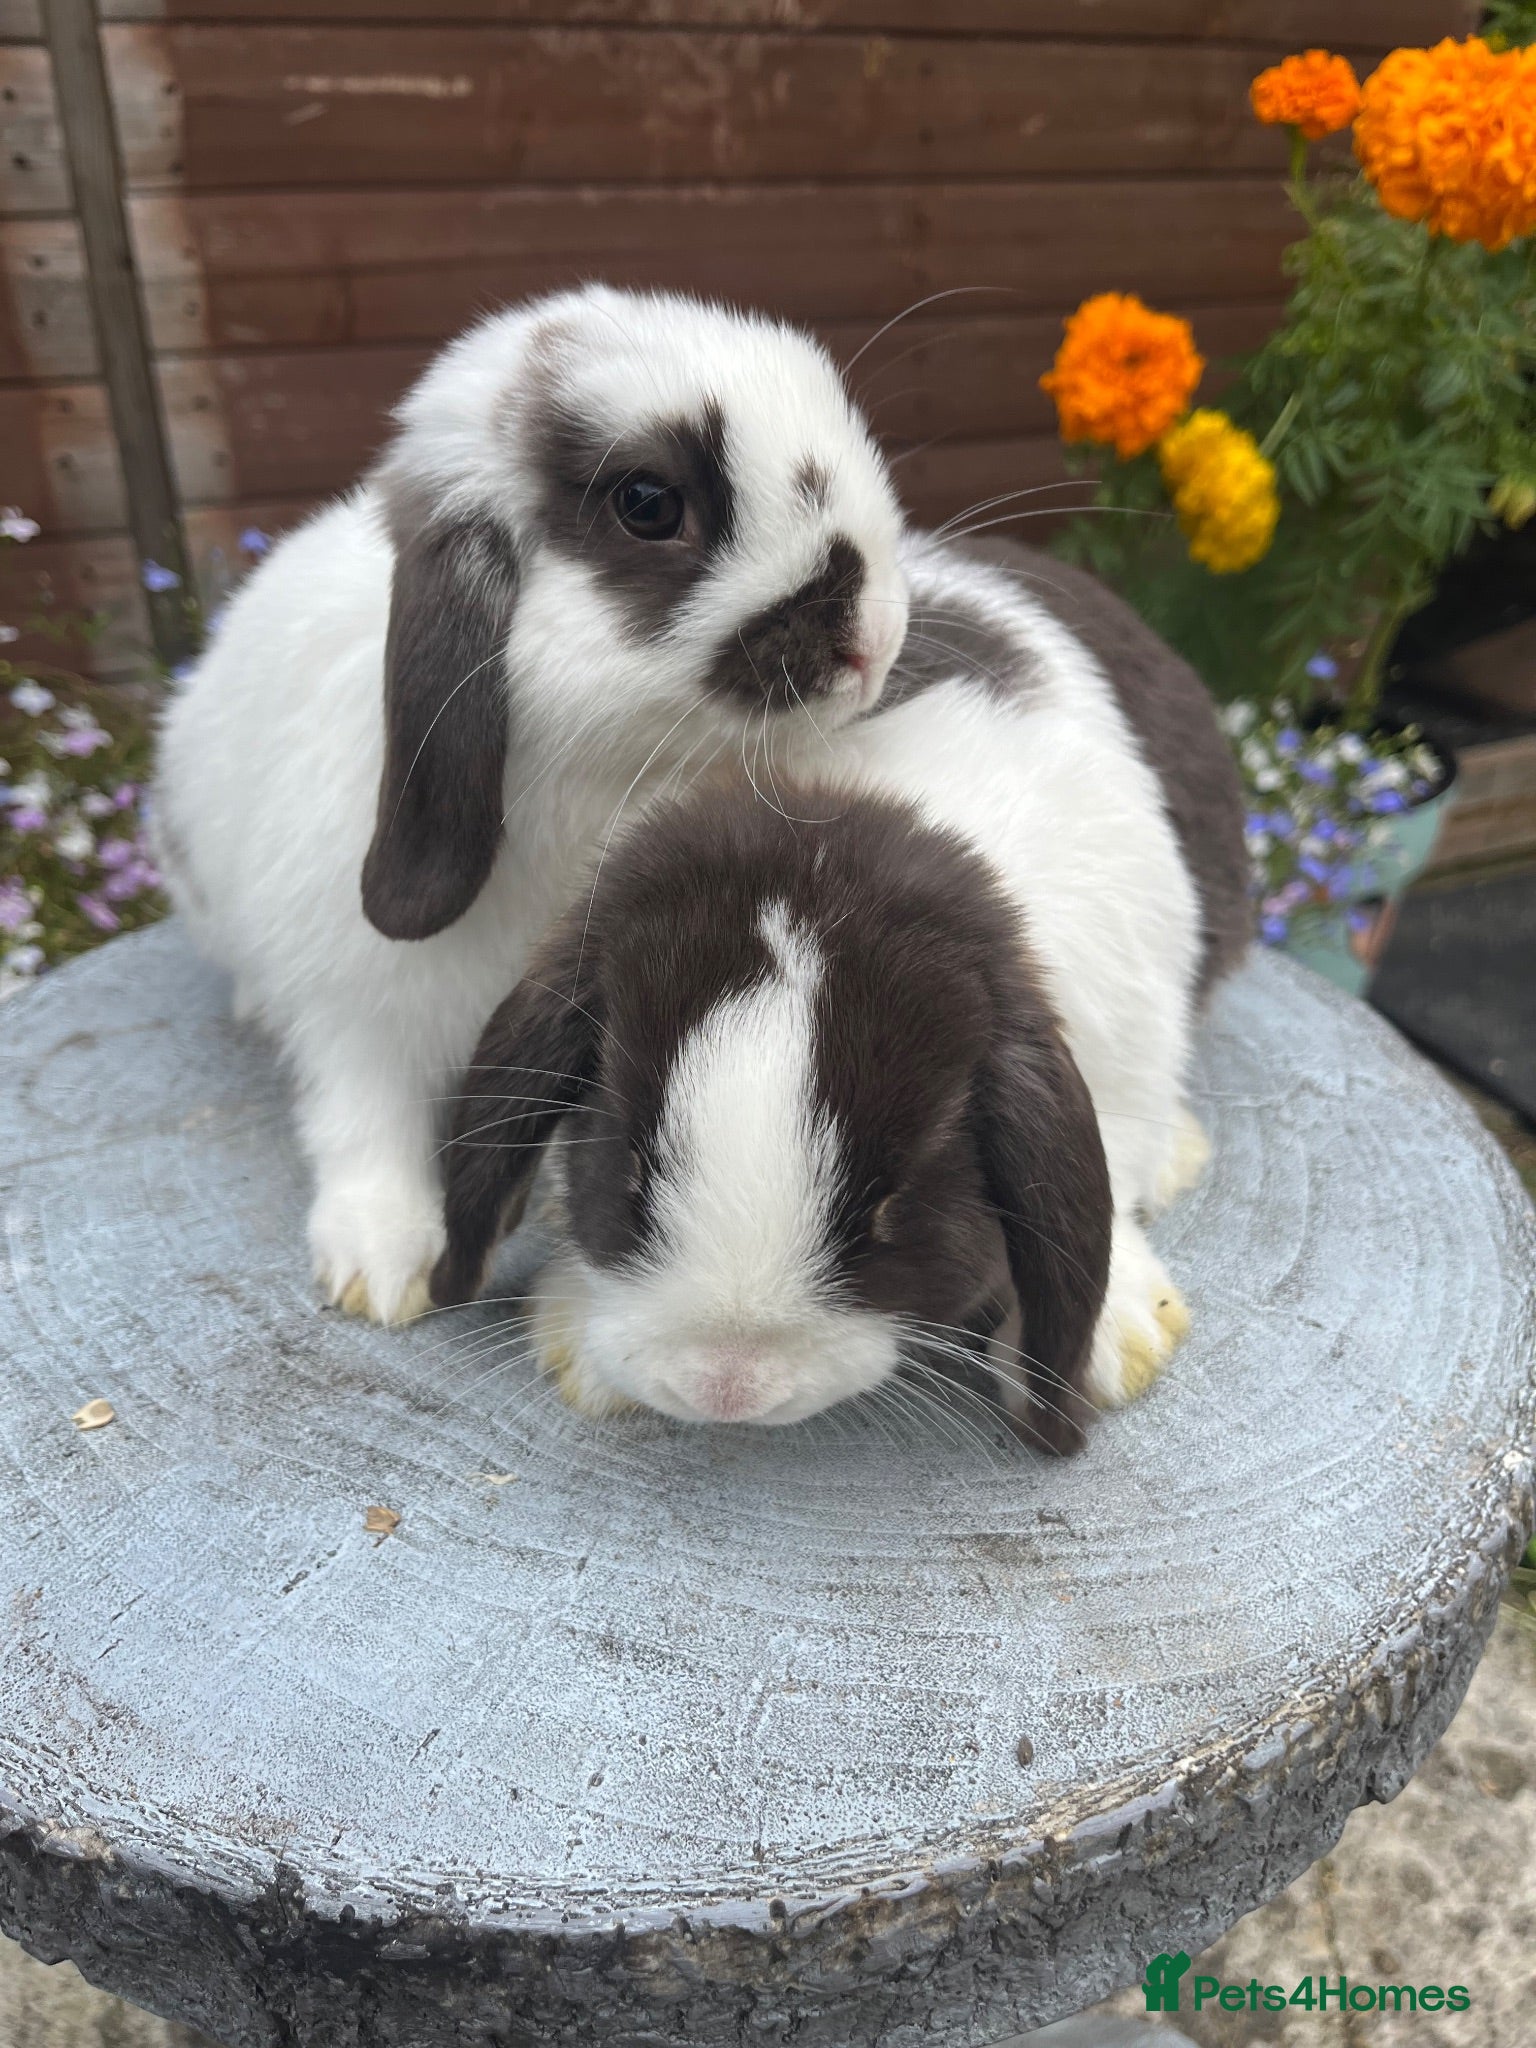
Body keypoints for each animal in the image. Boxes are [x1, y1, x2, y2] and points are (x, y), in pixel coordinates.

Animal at [153, 285, 911, 1326]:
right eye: (647, 504)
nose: (876, 637)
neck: (588, 778)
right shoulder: (353, 1001)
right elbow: (362, 1114)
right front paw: (384, 1263)